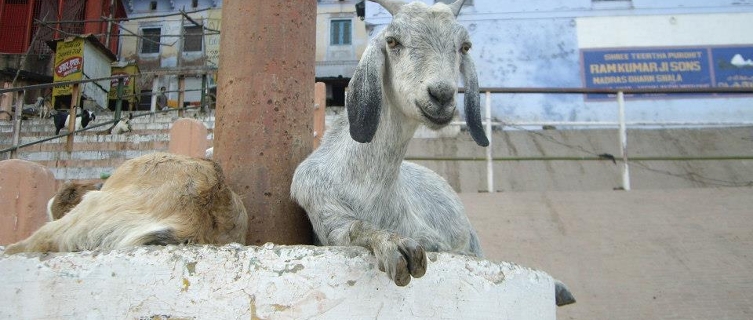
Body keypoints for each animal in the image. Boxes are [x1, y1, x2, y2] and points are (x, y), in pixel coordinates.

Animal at [290, 0, 572, 306]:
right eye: (393, 41)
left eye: (464, 46)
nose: (441, 95)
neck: (367, 186)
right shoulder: (325, 215)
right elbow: (355, 229)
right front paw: (394, 245)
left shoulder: (434, 236)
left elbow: (449, 249)